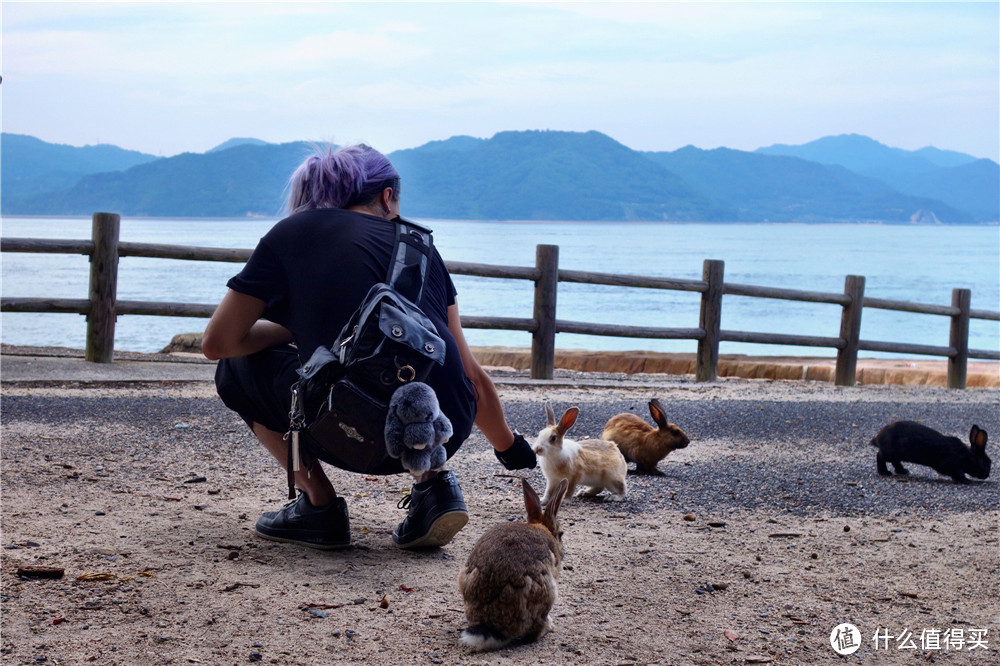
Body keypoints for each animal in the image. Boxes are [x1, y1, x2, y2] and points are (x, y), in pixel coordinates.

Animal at [458, 474, 568, 652]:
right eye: (561, 534)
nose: (563, 552)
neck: (540, 527)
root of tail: (493, 628)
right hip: (547, 591)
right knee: (533, 633)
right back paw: (548, 627)